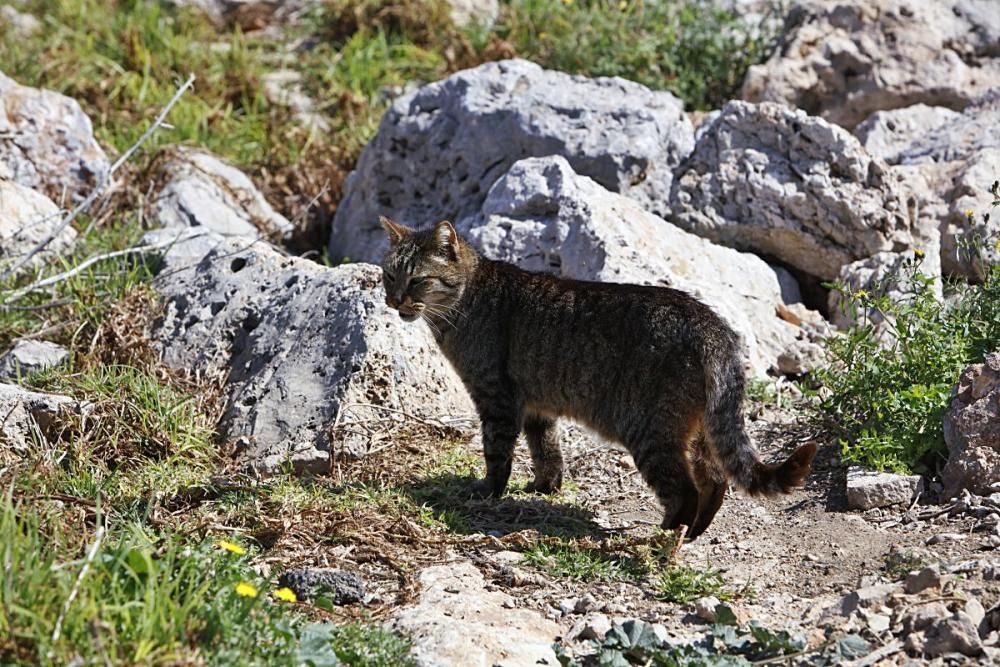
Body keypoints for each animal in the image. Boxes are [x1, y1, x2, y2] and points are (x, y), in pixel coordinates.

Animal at [378, 217, 816, 540]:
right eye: (388, 276)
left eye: (417, 280)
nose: (393, 301)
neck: (465, 301)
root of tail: (711, 325)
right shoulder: (536, 405)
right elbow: (547, 449)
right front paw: (545, 487)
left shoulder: (496, 399)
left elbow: (498, 455)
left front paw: (488, 492)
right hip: (698, 430)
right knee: (715, 480)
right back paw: (692, 533)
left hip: (650, 432)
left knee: (686, 491)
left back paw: (664, 535)